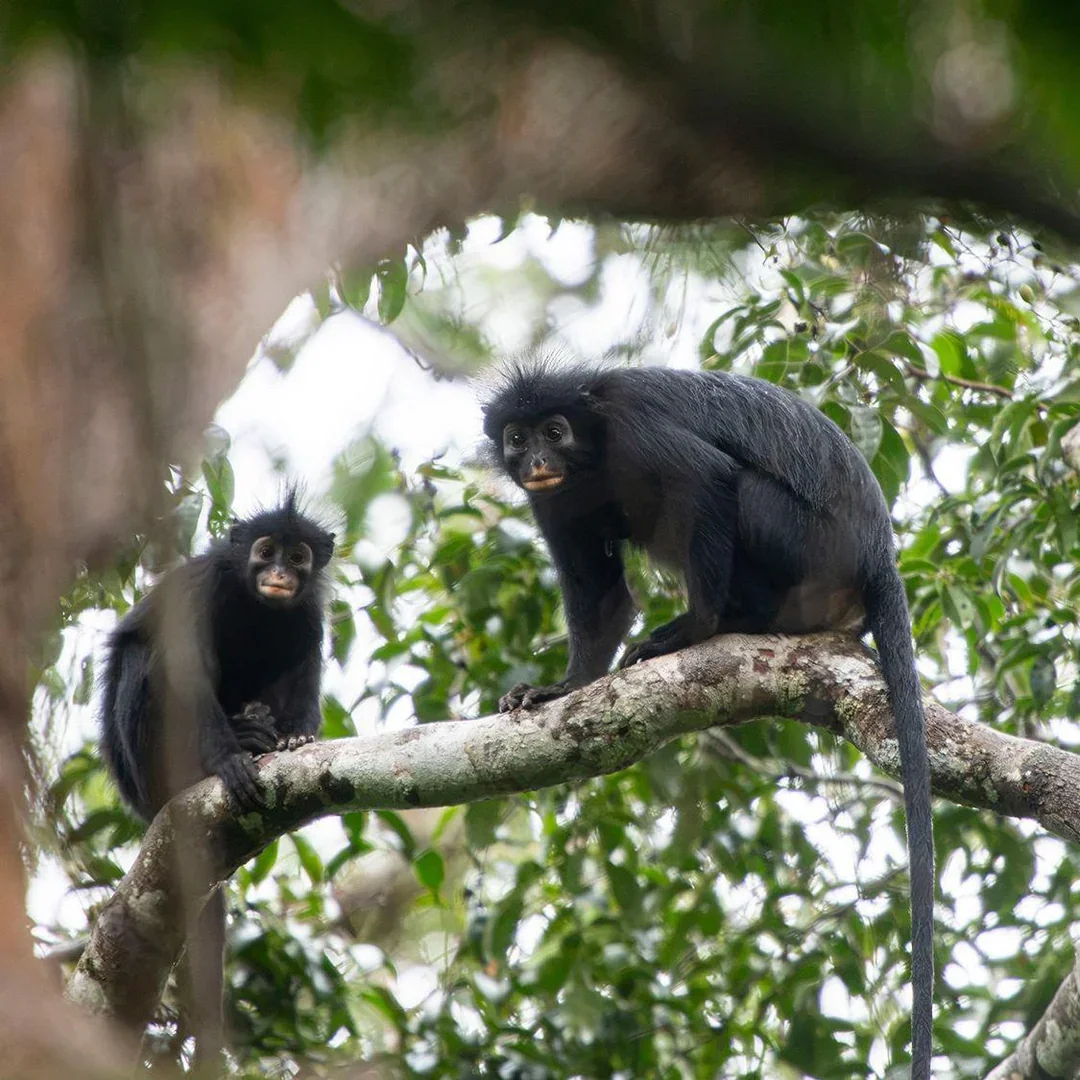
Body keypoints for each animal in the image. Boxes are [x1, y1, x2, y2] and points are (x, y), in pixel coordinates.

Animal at [99, 492, 334, 1068]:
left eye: (298, 557)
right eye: (265, 551)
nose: (278, 574)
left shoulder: (309, 610)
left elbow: (306, 658)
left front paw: (297, 738)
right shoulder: (200, 588)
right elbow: (185, 670)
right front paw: (228, 761)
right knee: (145, 655)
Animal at [482, 360, 934, 1080]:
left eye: (555, 431)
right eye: (518, 438)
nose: (538, 460)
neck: (592, 451)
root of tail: (876, 553)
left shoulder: (634, 429)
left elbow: (708, 479)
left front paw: (693, 628)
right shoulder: (552, 501)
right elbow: (601, 597)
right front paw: (561, 689)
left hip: (803, 542)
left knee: (735, 488)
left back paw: (730, 620)